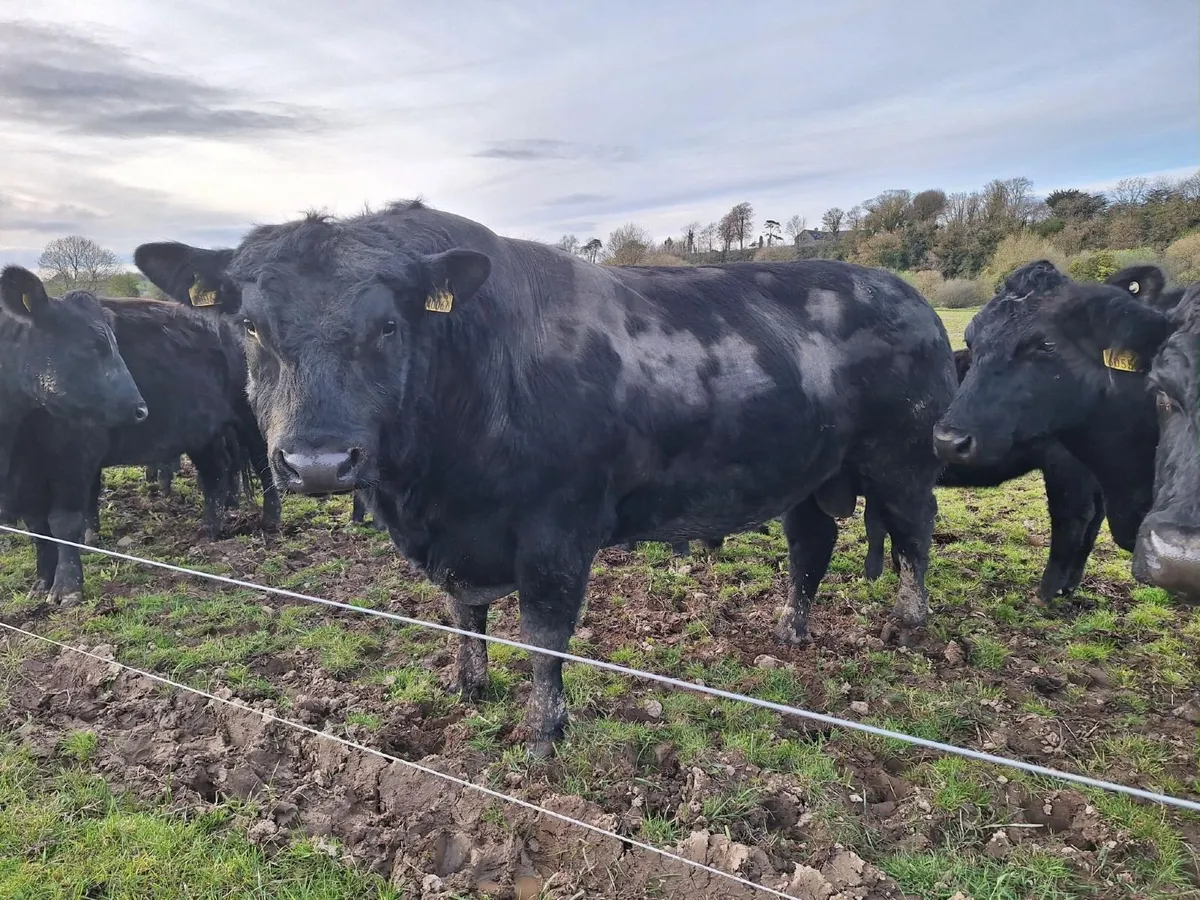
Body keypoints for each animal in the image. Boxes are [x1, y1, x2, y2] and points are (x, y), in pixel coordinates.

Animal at [0, 267, 148, 603]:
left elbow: (62, 524)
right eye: (95, 344)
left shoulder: (74, 458)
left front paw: (66, 586)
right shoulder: (26, 475)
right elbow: (37, 528)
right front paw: (43, 580)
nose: (141, 409)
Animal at [134, 199, 958, 756]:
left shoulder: (557, 530)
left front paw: (543, 732)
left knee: (914, 534)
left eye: (389, 326)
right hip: (812, 470)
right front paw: (468, 686)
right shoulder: (460, 539)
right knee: (810, 544)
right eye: (250, 326)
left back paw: (912, 622)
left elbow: (544, 637)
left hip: (903, 456)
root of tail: (903, 291)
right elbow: (463, 614)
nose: (316, 461)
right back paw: (790, 630)